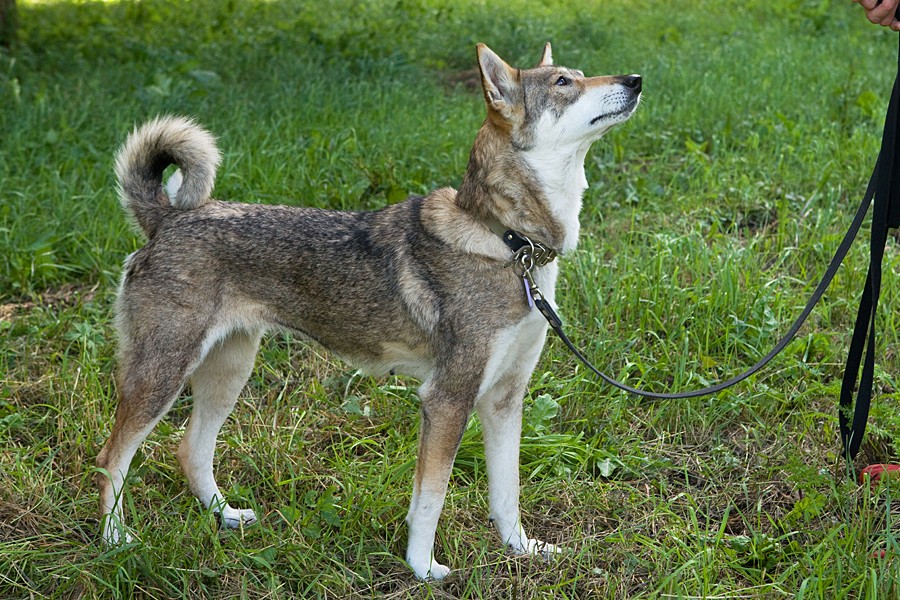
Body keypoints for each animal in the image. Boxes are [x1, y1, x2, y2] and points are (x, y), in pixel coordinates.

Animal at [98, 41, 640, 576]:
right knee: (111, 457)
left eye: (579, 73)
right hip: (161, 375)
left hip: (228, 371)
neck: (509, 242)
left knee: (190, 449)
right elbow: (431, 498)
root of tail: (166, 220)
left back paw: (225, 515)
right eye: (563, 83)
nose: (635, 80)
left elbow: (507, 495)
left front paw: (521, 549)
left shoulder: (504, 400)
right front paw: (422, 568)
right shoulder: (447, 399)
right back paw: (115, 540)